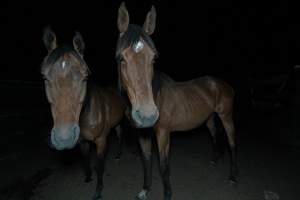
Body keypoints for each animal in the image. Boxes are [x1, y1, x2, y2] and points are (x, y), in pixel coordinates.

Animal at [40, 27, 125, 200]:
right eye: (44, 76)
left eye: (85, 76)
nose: (63, 138)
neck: (87, 115)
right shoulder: (82, 141)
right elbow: (85, 159)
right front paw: (87, 177)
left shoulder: (101, 141)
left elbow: (99, 165)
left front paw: (98, 191)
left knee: (120, 136)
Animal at [116, 2, 238, 199]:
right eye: (121, 58)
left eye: (154, 58)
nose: (147, 116)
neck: (155, 94)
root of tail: (223, 84)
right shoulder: (143, 134)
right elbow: (146, 161)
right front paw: (145, 189)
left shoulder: (163, 133)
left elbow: (163, 165)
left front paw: (167, 194)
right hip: (210, 118)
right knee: (214, 135)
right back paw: (215, 159)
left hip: (226, 116)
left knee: (232, 143)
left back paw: (233, 177)